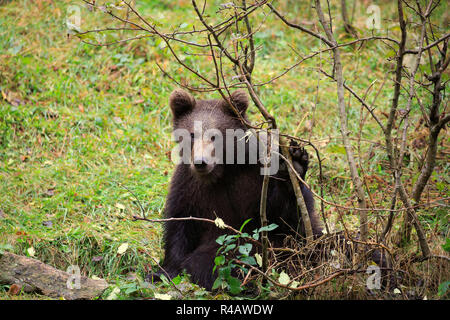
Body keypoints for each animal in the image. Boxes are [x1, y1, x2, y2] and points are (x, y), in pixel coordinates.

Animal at [156, 88, 322, 290]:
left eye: (215, 135)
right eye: (192, 134)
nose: (201, 162)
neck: (223, 171)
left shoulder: (256, 177)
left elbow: (284, 220)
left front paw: (295, 165)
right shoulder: (189, 187)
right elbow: (180, 224)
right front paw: (165, 270)